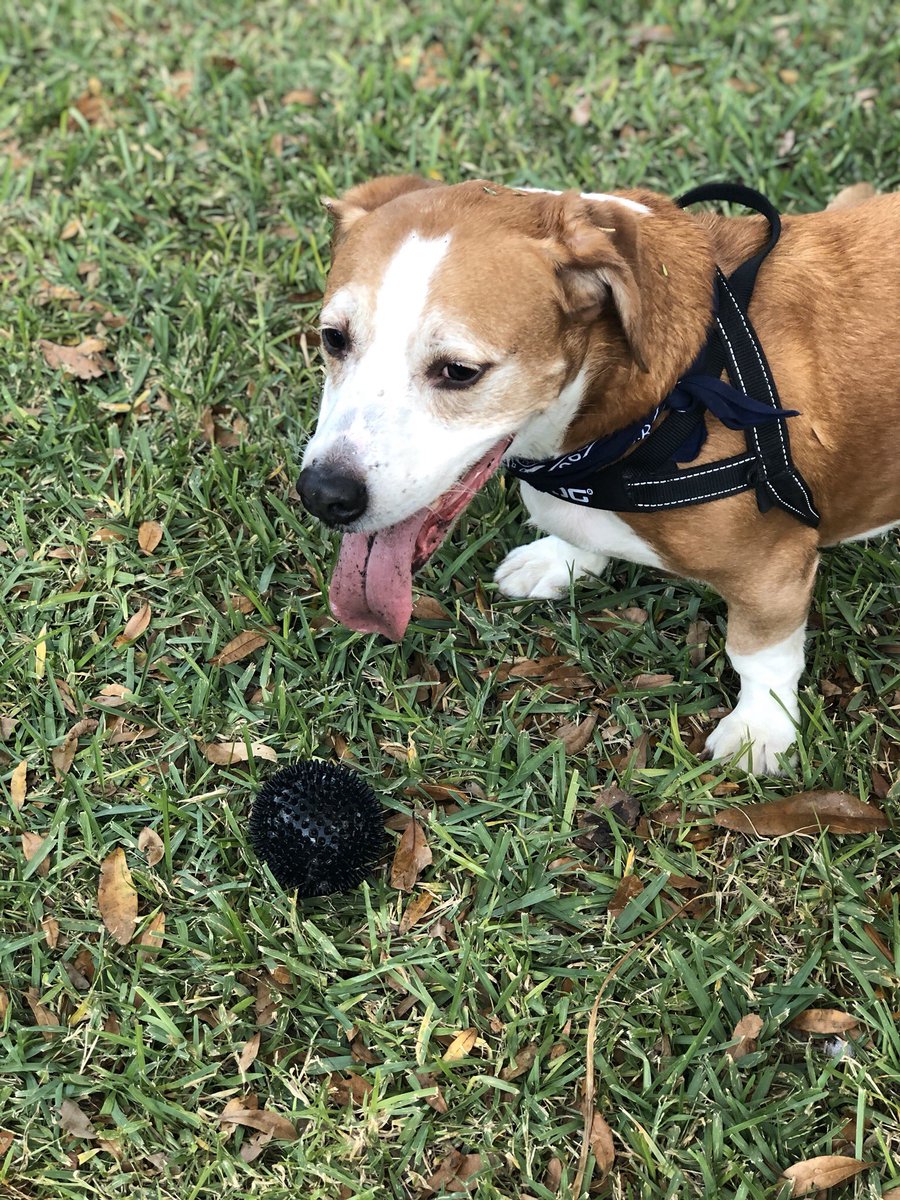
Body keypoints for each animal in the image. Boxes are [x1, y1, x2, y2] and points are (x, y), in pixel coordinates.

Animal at [297, 175, 900, 773]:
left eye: (459, 372)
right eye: (333, 338)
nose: (323, 495)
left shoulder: (771, 574)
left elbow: (759, 657)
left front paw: (760, 728)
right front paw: (559, 560)